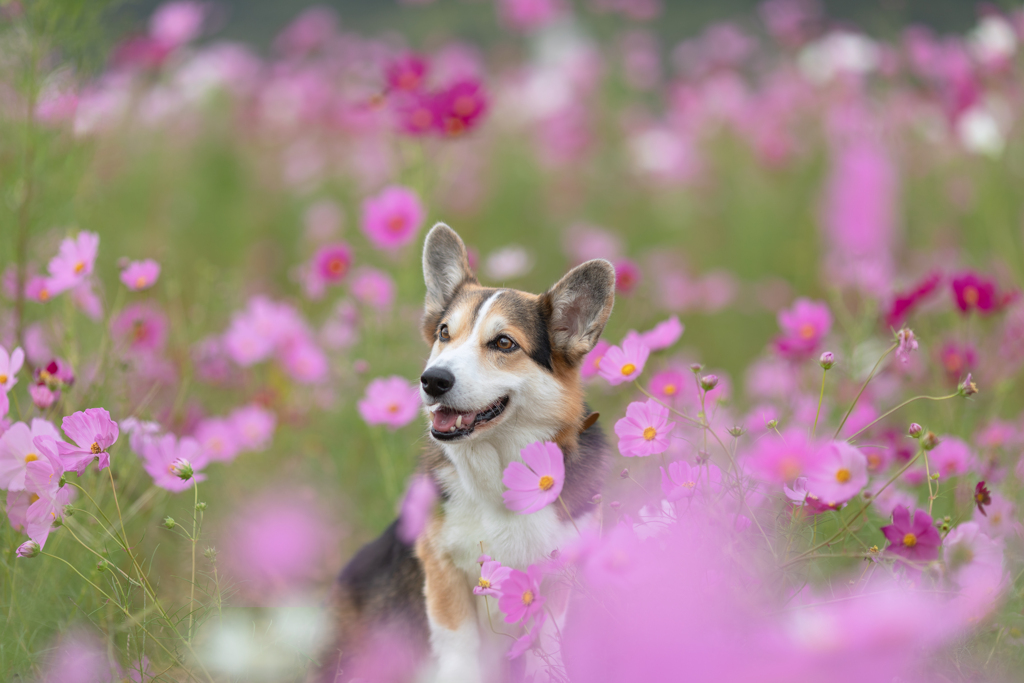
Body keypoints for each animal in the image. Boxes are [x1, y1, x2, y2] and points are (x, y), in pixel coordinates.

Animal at [315, 224, 610, 683]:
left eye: (504, 343)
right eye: (443, 334)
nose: (432, 380)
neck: (499, 474)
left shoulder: (556, 582)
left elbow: (547, 649)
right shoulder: (443, 574)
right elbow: (459, 652)